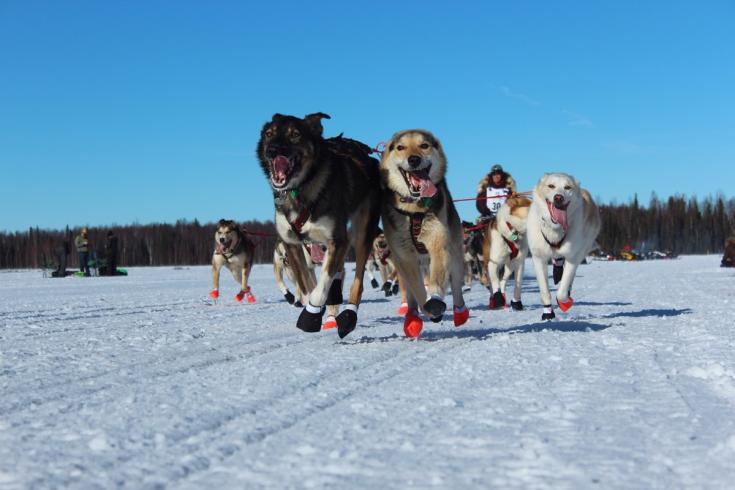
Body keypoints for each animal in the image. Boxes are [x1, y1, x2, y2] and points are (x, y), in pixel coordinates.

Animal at [257, 112, 381, 338]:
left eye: (295, 134)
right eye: (269, 134)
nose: (272, 151)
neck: (299, 190)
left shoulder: (337, 240)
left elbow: (323, 283)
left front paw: (311, 314)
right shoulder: (292, 245)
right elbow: (306, 285)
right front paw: (312, 306)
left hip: (362, 233)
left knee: (358, 281)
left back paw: (349, 317)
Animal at [379, 129, 469, 337]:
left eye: (424, 145)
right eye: (400, 147)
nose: (413, 159)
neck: (414, 209)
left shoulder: (438, 244)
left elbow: (437, 280)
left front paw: (435, 300)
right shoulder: (405, 257)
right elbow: (418, 289)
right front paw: (428, 309)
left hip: (454, 254)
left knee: (456, 285)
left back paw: (460, 312)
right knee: (410, 291)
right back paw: (412, 317)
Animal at [526, 173, 601, 320]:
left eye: (567, 187)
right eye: (551, 186)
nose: (558, 197)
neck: (555, 229)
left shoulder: (573, 257)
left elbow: (562, 291)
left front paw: (564, 301)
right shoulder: (539, 258)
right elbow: (544, 291)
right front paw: (548, 313)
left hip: (582, 250)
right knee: (558, 261)